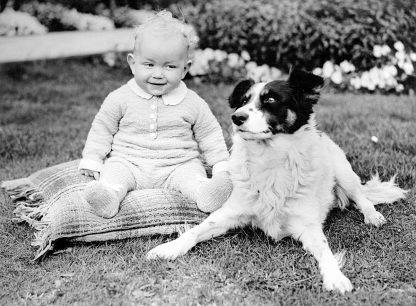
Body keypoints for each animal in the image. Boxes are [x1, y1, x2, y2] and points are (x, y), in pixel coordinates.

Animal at [147, 68, 406, 292]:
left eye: (270, 100)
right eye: (243, 101)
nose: (236, 117)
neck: (269, 161)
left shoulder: (308, 226)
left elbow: (326, 252)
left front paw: (336, 277)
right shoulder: (229, 214)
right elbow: (195, 230)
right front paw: (168, 248)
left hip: (344, 173)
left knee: (362, 197)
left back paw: (373, 215)